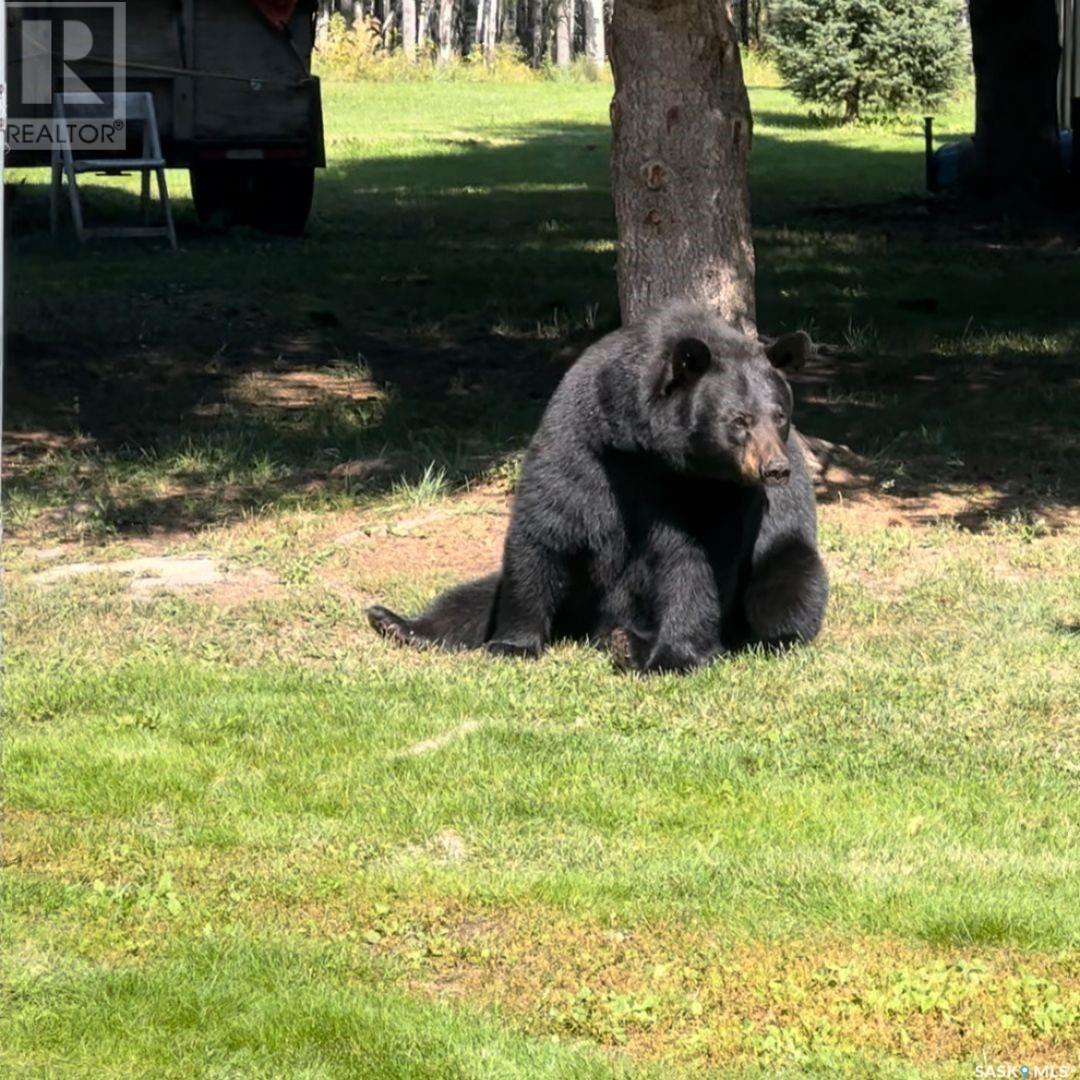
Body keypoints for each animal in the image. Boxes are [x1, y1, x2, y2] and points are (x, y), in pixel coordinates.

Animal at [367, 300, 829, 669]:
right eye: (739, 420)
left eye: (779, 415)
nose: (776, 468)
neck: (645, 446)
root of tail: (591, 627)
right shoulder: (584, 438)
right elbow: (545, 525)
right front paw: (513, 643)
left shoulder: (714, 491)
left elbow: (698, 560)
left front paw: (671, 656)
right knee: (476, 593)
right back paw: (397, 623)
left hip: (785, 555)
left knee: (785, 594)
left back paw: (631, 644)